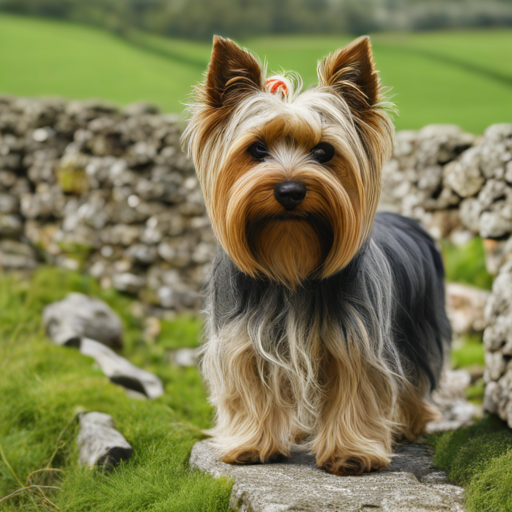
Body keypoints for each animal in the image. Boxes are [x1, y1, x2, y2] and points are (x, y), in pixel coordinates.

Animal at [181, 36, 452, 476]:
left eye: (324, 152)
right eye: (257, 149)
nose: (290, 190)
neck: (291, 259)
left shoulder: (356, 343)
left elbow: (357, 390)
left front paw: (351, 453)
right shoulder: (243, 339)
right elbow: (250, 387)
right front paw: (251, 445)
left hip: (418, 327)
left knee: (412, 378)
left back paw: (408, 426)